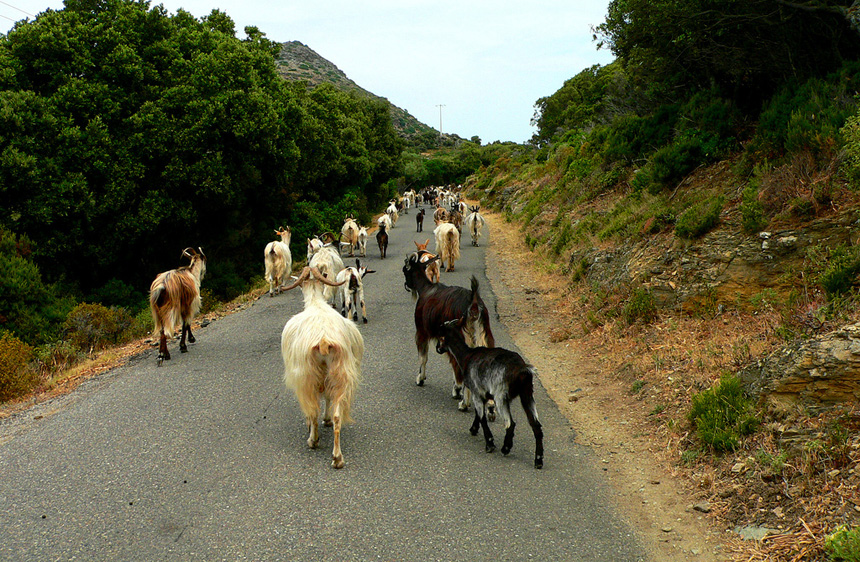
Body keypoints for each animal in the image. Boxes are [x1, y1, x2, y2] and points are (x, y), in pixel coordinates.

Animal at [280, 266, 363, 469]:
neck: (316, 303)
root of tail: (324, 340)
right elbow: (327, 397)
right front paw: (326, 420)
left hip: (307, 374)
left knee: (312, 407)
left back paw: (313, 440)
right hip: (341, 371)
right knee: (337, 413)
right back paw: (337, 458)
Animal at [402, 253, 495, 410]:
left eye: (405, 270)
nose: (407, 285)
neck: (425, 289)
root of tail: (473, 305)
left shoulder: (422, 332)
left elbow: (423, 357)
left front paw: (420, 379)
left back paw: (464, 404)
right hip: (485, 333)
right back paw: (490, 406)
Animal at [435, 316, 544, 469]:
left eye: (441, 335)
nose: (437, 348)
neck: (467, 356)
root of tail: (522, 370)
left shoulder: (476, 391)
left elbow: (482, 417)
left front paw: (490, 443)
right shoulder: (483, 394)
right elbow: (478, 414)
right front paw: (474, 429)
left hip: (501, 396)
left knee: (510, 423)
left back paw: (505, 448)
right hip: (527, 394)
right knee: (536, 426)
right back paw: (538, 460)